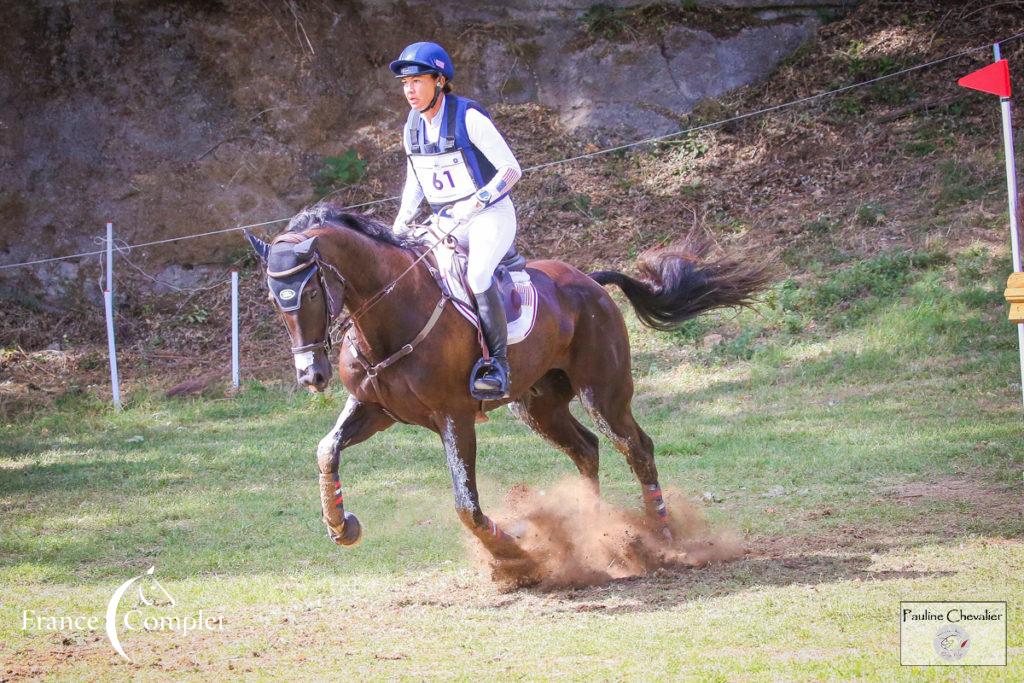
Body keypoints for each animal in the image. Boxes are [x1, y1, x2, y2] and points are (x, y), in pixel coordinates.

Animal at [245, 205, 770, 565]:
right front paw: (341, 526)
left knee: (635, 446)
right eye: (274, 299)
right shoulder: (375, 409)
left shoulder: (454, 417)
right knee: (586, 448)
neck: (389, 317)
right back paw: (595, 530)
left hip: (603, 393)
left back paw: (662, 537)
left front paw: (513, 554)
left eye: (312, 292)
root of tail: (589, 280)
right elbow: (326, 450)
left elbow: (466, 504)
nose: (311, 376)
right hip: (538, 406)